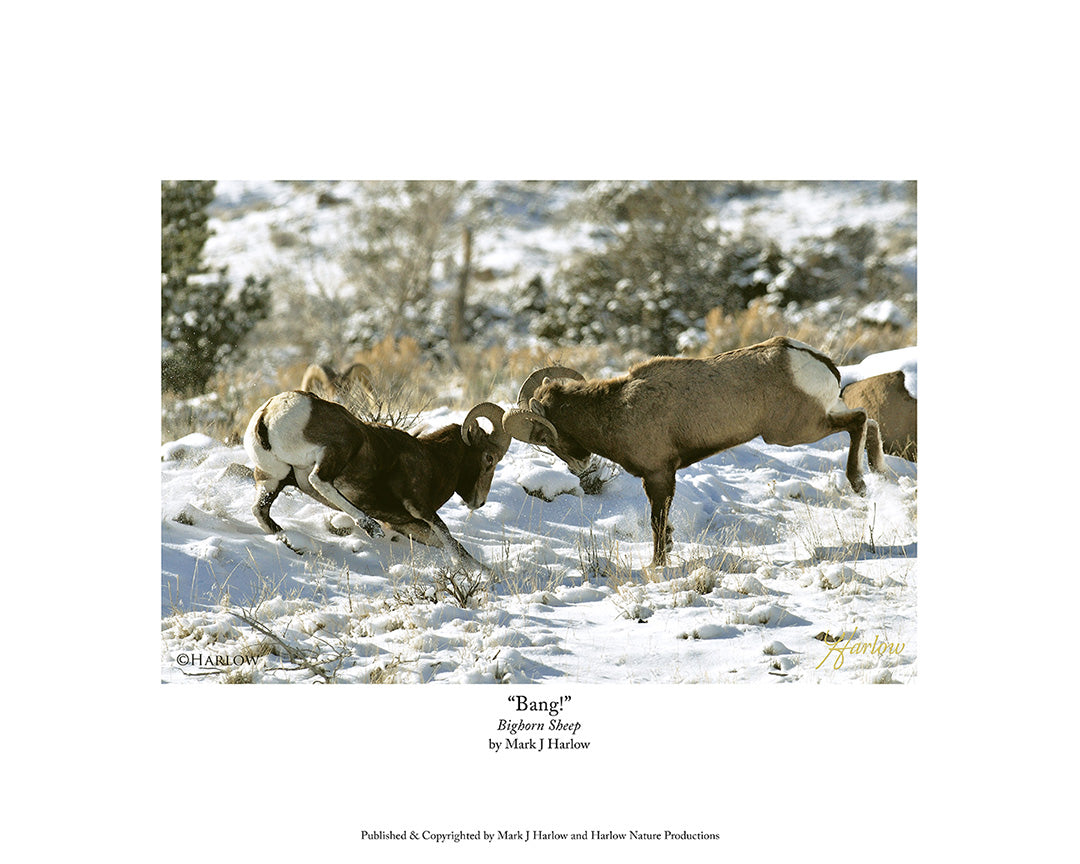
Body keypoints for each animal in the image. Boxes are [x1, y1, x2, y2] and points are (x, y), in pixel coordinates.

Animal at [243, 391, 511, 567]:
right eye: (489, 458)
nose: (479, 503)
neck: (434, 459)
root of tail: (268, 413)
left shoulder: (406, 524)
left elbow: (452, 544)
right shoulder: (420, 509)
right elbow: (450, 540)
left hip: (271, 478)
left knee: (260, 510)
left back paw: (285, 537)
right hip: (341, 446)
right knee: (318, 480)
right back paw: (369, 526)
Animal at [503, 336, 887, 567]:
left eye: (546, 437)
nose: (579, 466)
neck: (618, 410)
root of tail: (815, 362)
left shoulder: (659, 475)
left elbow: (657, 522)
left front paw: (658, 564)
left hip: (793, 432)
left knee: (859, 420)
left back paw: (859, 483)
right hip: (812, 421)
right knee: (867, 421)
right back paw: (878, 473)